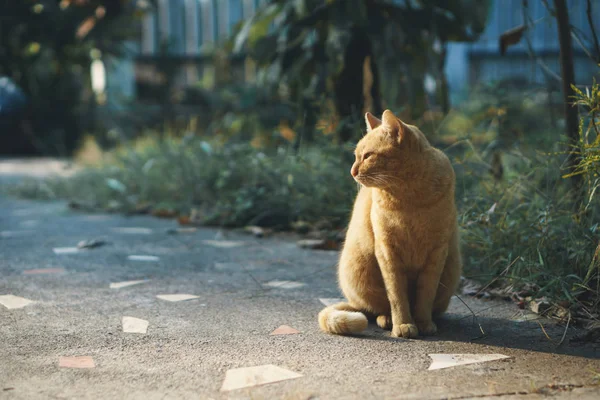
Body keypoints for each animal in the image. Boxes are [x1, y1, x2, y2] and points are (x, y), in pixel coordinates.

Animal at [316, 109, 462, 338]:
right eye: (356, 156)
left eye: (367, 156)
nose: (352, 171)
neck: (408, 197)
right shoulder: (387, 251)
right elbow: (396, 295)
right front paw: (403, 324)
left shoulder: (437, 252)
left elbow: (425, 295)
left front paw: (423, 322)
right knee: (378, 308)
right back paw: (387, 319)